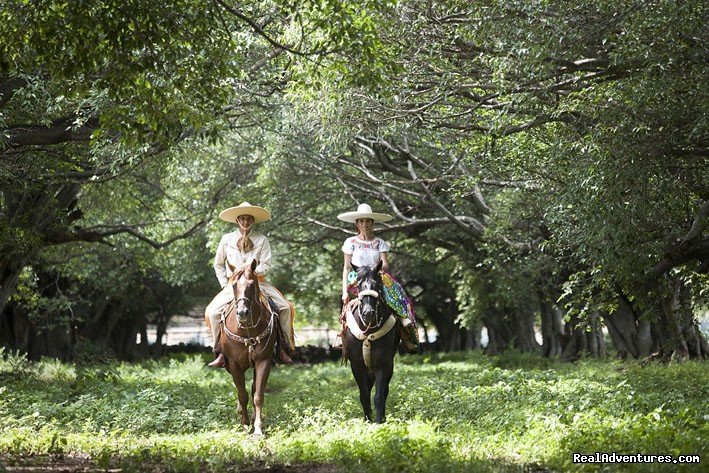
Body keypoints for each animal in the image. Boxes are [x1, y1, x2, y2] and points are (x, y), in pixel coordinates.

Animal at [218, 258, 276, 436]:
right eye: (234, 285)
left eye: (251, 284)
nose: (242, 313)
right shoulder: (234, 364)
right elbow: (242, 394)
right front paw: (244, 425)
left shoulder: (263, 361)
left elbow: (257, 394)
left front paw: (257, 427)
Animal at [340, 260, 396, 422]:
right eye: (359, 285)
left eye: (377, 284)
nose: (368, 313)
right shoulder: (357, 365)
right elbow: (364, 395)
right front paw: (367, 420)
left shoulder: (383, 363)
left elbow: (379, 396)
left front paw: (378, 422)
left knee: (384, 391)